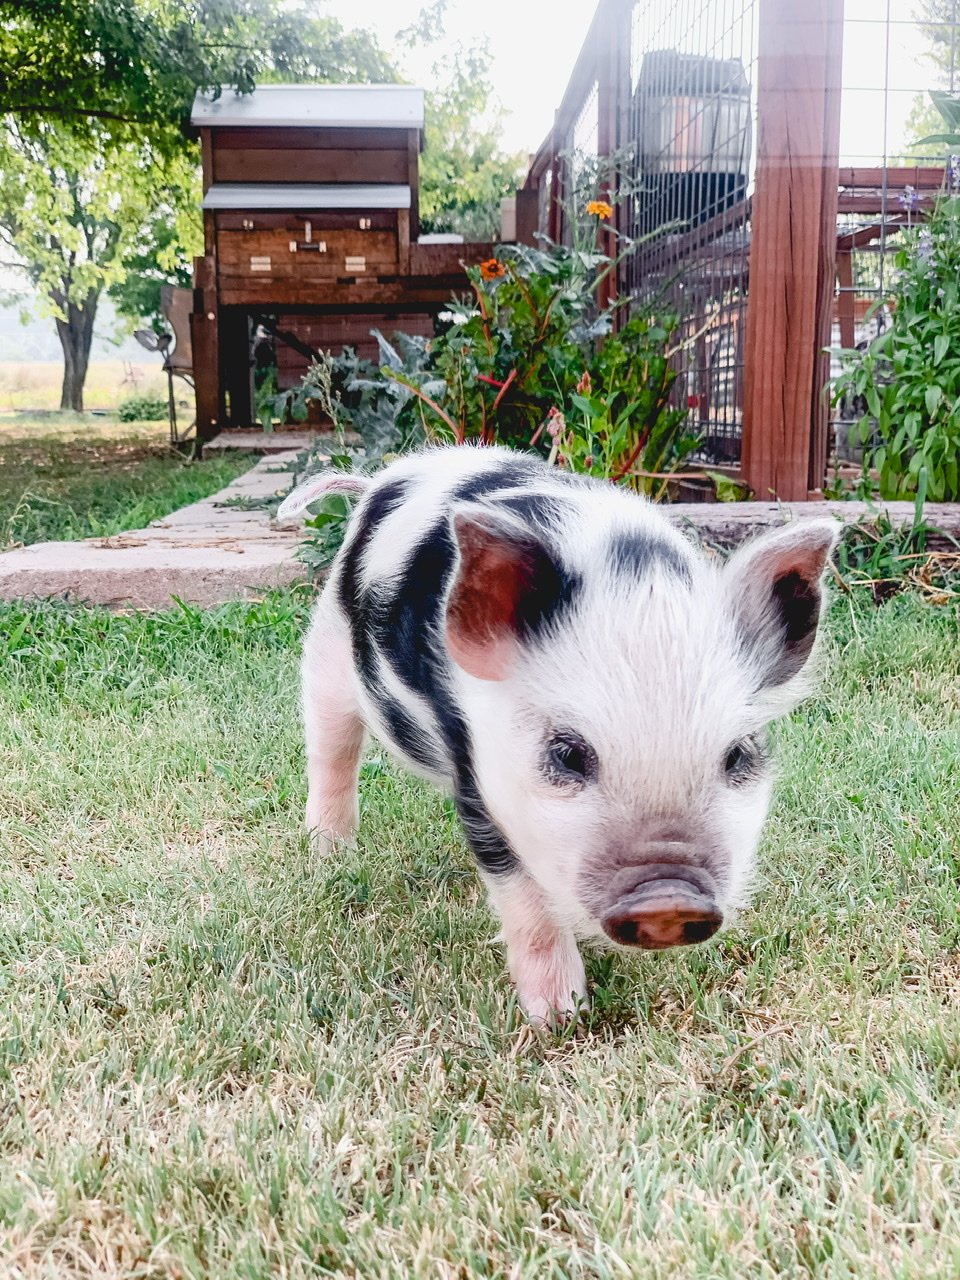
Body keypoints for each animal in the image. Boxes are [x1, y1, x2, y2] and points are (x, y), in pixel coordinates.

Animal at [276, 446, 839, 1025]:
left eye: (738, 754)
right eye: (567, 754)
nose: (668, 898)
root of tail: (375, 483)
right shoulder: (476, 771)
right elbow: (525, 900)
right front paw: (558, 1017)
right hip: (327, 648)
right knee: (330, 751)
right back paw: (331, 856)